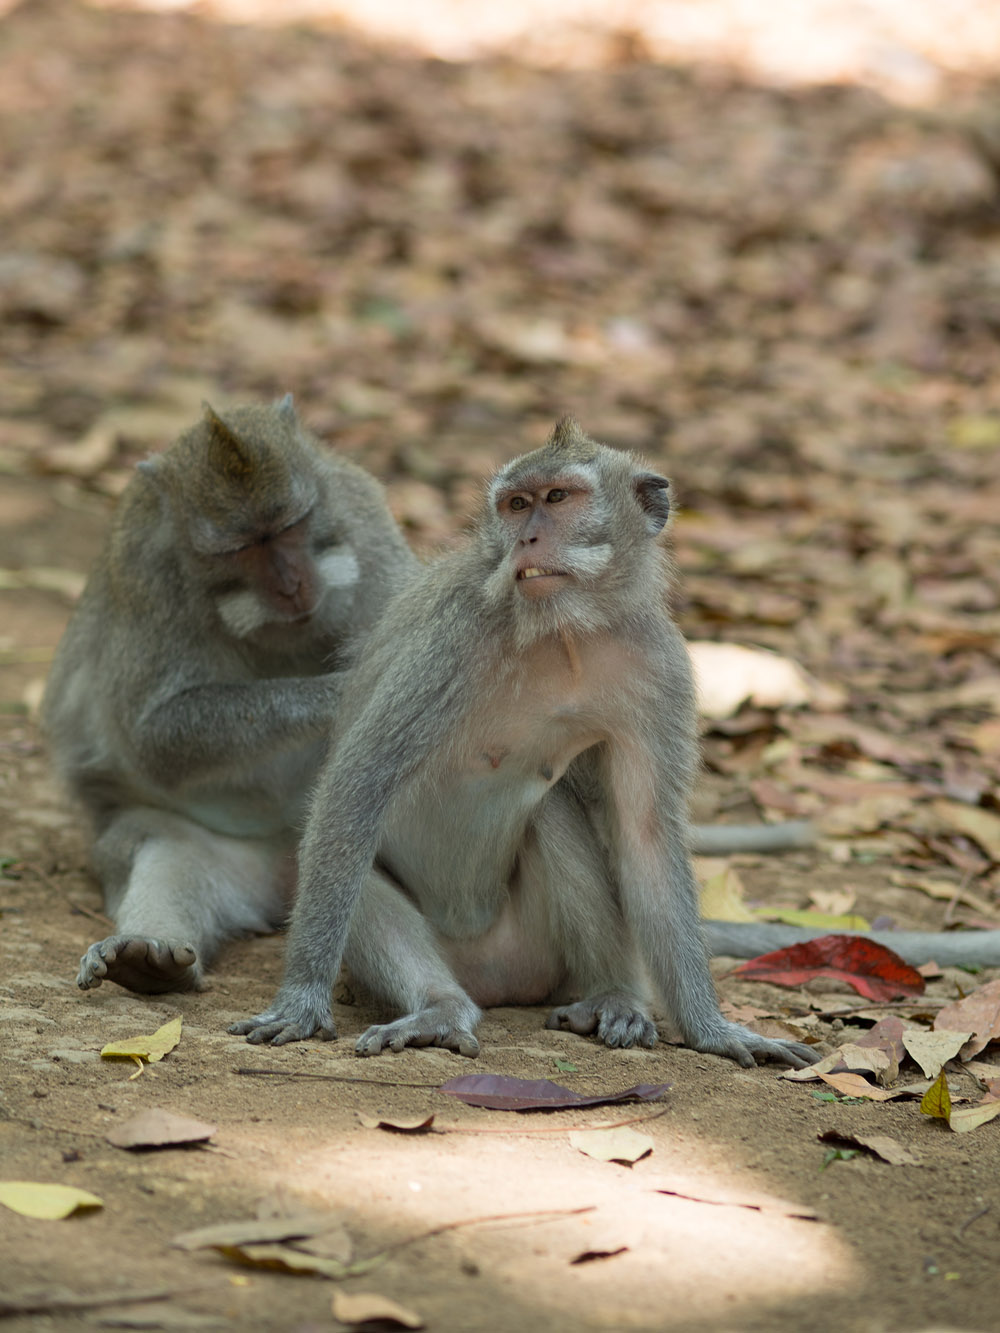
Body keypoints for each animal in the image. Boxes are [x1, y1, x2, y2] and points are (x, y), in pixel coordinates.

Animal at [43, 389, 416, 997]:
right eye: (242, 548)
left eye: (291, 525)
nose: (292, 584)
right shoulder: (148, 576)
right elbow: (156, 739)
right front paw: (341, 692)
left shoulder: (363, 521)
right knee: (160, 844)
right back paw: (147, 954)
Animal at [233, 415, 821, 1061]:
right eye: (516, 505)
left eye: (558, 498)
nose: (527, 539)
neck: (565, 632)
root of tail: (493, 979)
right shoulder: (454, 635)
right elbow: (357, 787)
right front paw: (302, 999)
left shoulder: (660, 667)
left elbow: (645, 834)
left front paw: (712, 1030)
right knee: (348, 854)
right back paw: (440, 1009)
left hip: (538, 953)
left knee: (553, 814)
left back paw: (614, 995)